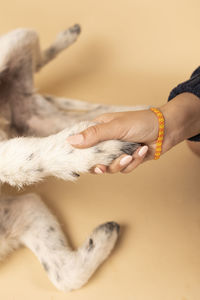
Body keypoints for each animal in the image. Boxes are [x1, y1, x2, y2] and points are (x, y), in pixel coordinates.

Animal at [0, 24, 145, 292]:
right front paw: (101, 239)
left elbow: (22, 158)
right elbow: (67, 276)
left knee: (37, 61)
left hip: (18, 37)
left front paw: (91, 150)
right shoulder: (23, 210)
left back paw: (68, 35)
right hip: (39, 120)